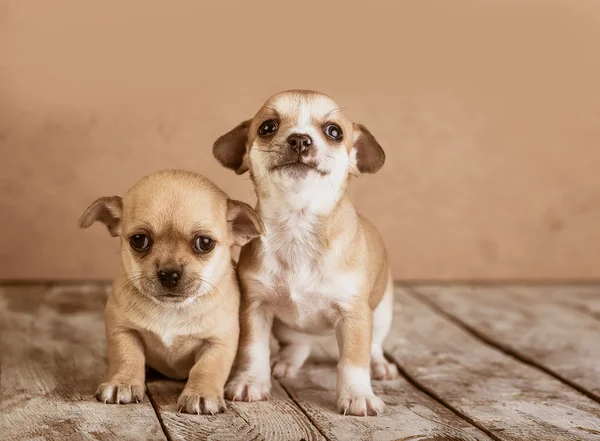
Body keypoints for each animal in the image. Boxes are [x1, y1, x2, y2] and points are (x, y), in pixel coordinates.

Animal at [78, 168, 264, 412]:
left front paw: (201, 393)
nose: (169, 273)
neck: (171, 309)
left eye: (205, 243)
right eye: (139, 240)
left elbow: (207, 369)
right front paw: (123, 383)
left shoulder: (218, 342)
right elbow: (127, 357)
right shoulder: (122, 330)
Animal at [212, 90, 398, 416]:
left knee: (373, 346)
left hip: (381, 314)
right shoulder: (255, 308)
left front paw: (357, 395)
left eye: (334, 132)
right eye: (267, 127)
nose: (300, 139)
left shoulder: (355, 314)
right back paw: (284, 362)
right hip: (287, 328)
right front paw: (250, 381)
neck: (298, 223)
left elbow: (353, 360)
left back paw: (380, 366)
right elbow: (253, 349)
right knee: (298, 345)